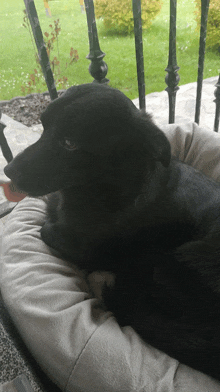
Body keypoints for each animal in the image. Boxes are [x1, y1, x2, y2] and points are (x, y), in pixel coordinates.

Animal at [3, 83, 220, 380]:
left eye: (70, 143)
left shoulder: (78, 244)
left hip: (174, 261)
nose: (8, 170)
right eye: (43, 126)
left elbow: (48, 229)